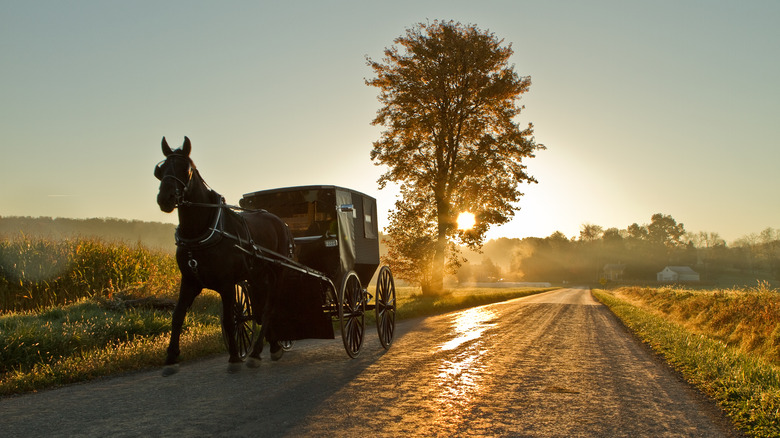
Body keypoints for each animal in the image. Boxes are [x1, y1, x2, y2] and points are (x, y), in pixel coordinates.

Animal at [154, 135, 290, 374]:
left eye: (185, 169)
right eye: (160, 170)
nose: (165, 198)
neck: (200, 232)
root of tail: (279, 221)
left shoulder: (227, 283)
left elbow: (228, 320)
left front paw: (234, 358)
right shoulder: (189, 281)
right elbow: (177, 316)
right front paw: (171, 358)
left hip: (278, 271)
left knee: (270, 308)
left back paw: (256, 352)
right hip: (258, 276)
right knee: (262, 308)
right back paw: (272, 347)